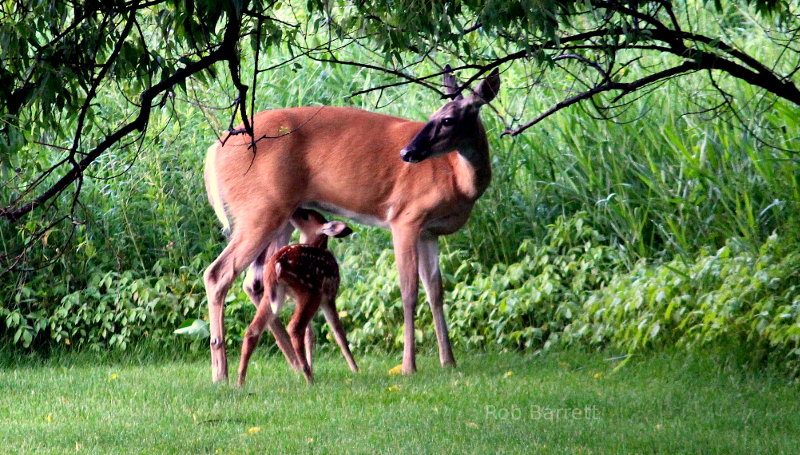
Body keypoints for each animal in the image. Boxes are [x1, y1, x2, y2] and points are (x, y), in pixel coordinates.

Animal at [203, 66, 500, 382]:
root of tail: (213, 152)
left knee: (254, 281)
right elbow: (409, 291)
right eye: (434, 116)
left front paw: (449, 361)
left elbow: (435, 291)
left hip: (279, 217)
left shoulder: (429, 232)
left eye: (447, 119)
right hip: (258, 210)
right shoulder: (405, 217)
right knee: (218, 274)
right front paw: (409, 366)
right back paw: (221, 374)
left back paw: (295, 365)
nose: (407, 153)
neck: (457, 177)